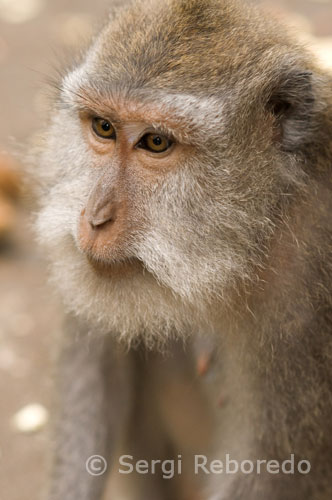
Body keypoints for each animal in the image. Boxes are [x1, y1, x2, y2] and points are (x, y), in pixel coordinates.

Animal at [29, 0, 332, 498]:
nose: (95, 218)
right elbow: (95, 363)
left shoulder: (305, 292)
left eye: (156, 142)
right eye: (103, 127)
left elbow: (273, 467)